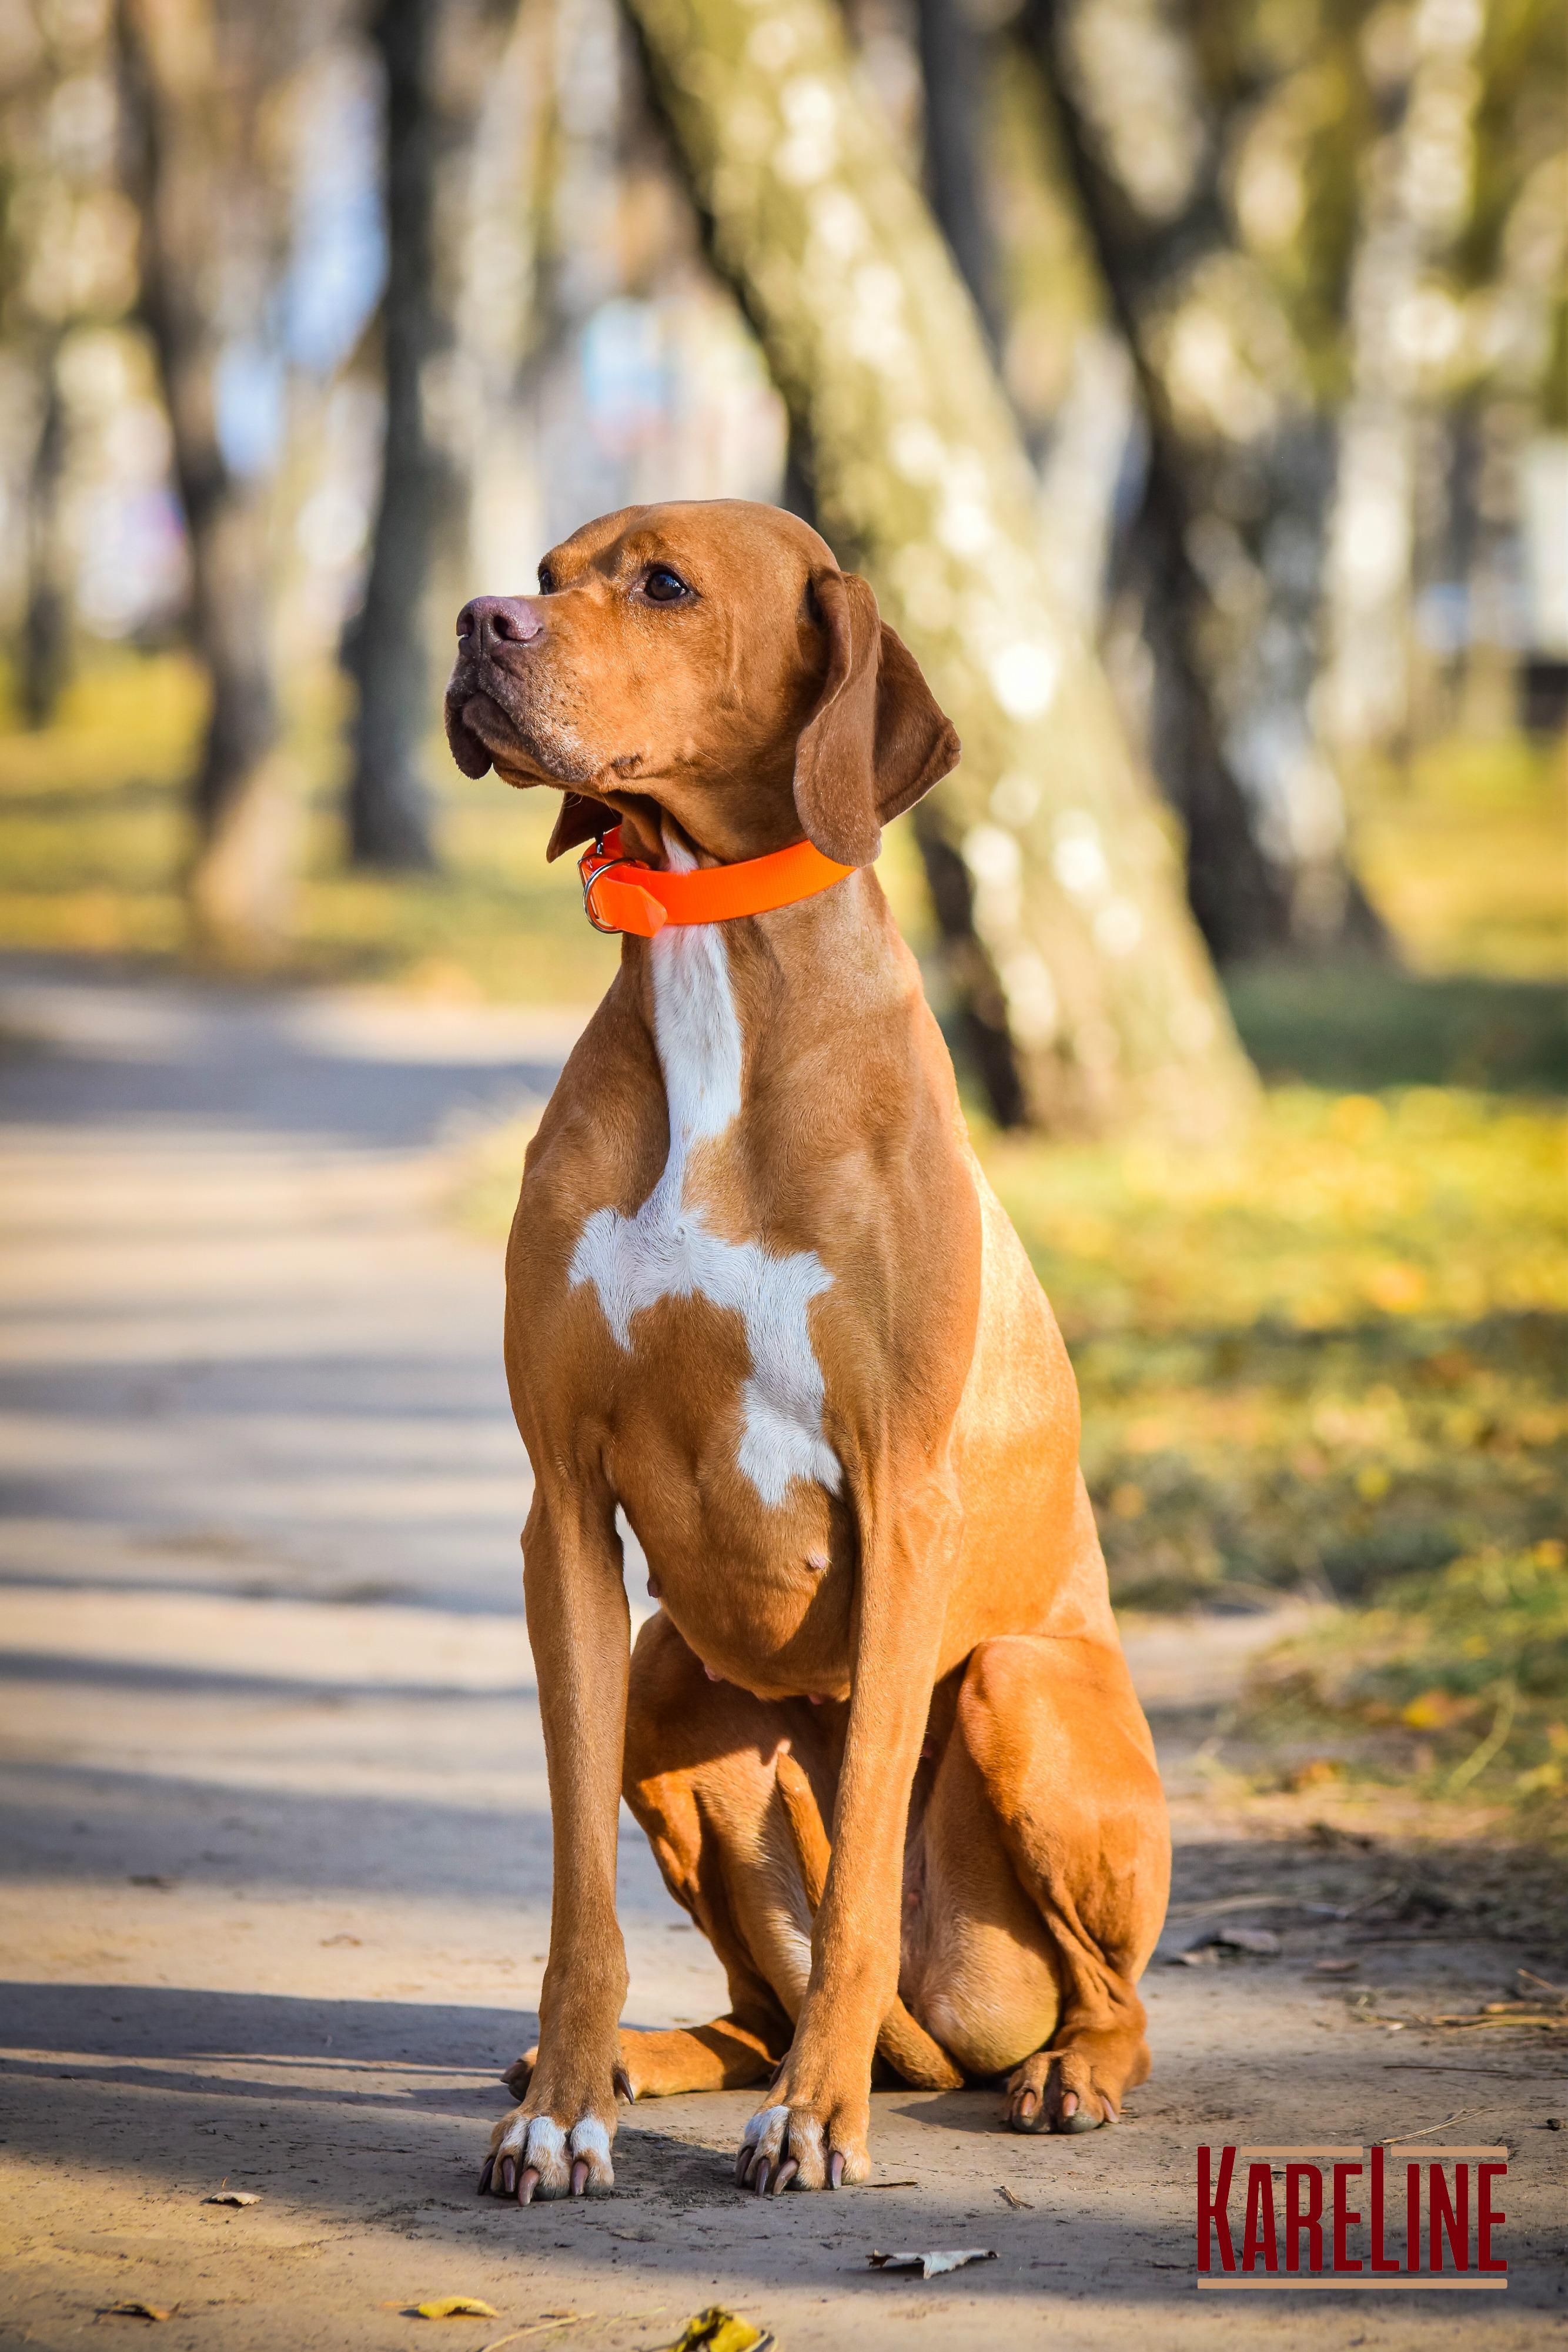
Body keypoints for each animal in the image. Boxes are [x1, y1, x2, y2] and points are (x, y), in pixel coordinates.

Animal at [446, 496, 1171, 2201]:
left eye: (663, 584)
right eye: (550, 569)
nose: (478, 620)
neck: (714, 970)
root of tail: (952, 2043)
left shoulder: (900, 1499)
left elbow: (849, 1919)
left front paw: (818, 2123)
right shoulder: (563, 1508)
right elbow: (577, 1898)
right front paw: (560, 2109)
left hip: (1020, 1689)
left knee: (1106, 1995)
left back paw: (1060, 2074)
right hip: (666, 1685)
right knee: (742, 1997)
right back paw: (645, 2063)